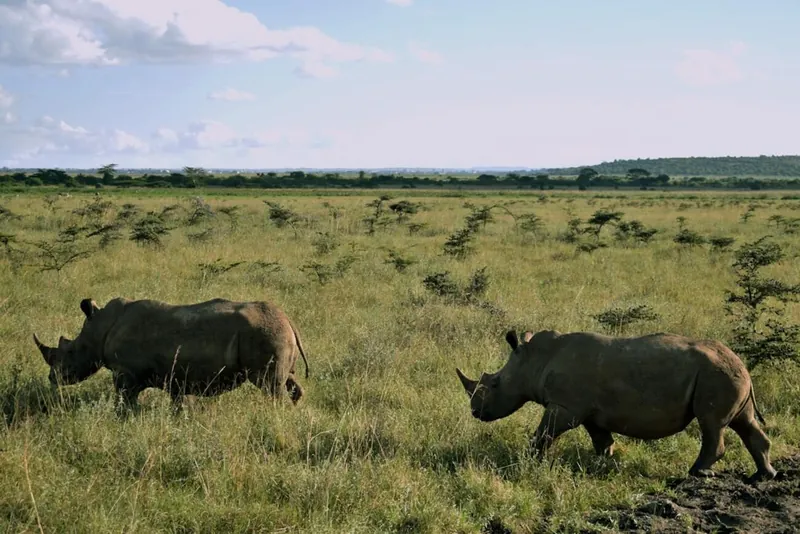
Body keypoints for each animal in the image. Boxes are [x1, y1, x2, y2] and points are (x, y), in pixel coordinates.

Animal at [33, 297, 310, 410]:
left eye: (71, 352)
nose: (52, 379)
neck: (100, 328)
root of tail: (289, 320)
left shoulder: (125, 373)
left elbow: (124, 401)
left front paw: (126, 419)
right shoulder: (177, 377)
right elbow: (178, 404)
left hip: (264, 333)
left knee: (270, 386)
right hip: (273, 333)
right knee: (287, 381)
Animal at [456, 329, 778, 483]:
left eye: (495, 384)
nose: (475, 412)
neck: (534, 359)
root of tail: (742, 364)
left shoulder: (564, 407)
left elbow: (544, 433)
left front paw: (528, 460)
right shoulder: (586, 411)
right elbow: (601, 438)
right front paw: (605, 463)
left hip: (715, 375)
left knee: (711, 424)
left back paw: (697, 472)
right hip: (727, 374)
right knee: (743, 422)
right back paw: (764, 475)